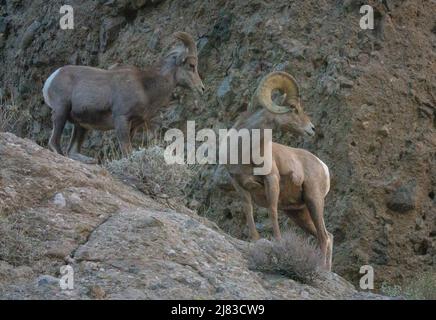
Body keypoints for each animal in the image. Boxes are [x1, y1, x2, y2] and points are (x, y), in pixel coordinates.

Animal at [41, 31, 204, 162]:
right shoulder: (121, 119)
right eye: (191, 65)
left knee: (72, 151)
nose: (201, 88)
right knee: (54, 142)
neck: (145, 87)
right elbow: (127, 151)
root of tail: (51, 78)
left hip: (81, 126)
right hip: (61, 111)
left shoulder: (133, 126)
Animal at [225, 71, 330, 268]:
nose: (312, 129)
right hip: (298, 213)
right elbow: (248, 211)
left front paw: (279, 242)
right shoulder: (239, 185)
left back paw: (321, 268)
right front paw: (255, 239)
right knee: (329, 236)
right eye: (293, 107)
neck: (245, 150)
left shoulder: (271, 180)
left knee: (324, 237)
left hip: (314, 200)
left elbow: (272, 211)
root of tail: (323, 166)